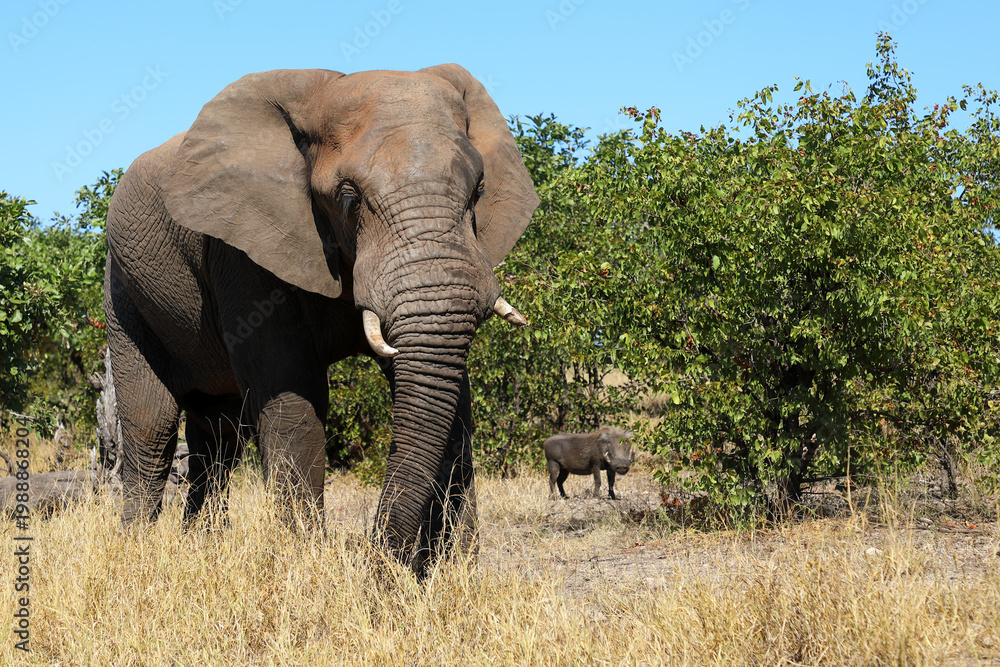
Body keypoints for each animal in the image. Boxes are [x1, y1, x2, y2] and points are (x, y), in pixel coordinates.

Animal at [103, 64, 539, 576]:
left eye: (478, 191)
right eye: (349, 198)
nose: (383, 564)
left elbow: (447, 396)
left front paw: (453, 572)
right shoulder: (243, 248)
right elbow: (293, 393)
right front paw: (305, 564)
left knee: (218, 435)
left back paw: (201, 546)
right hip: (122, 288)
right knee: (151, 425)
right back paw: (137, 549)